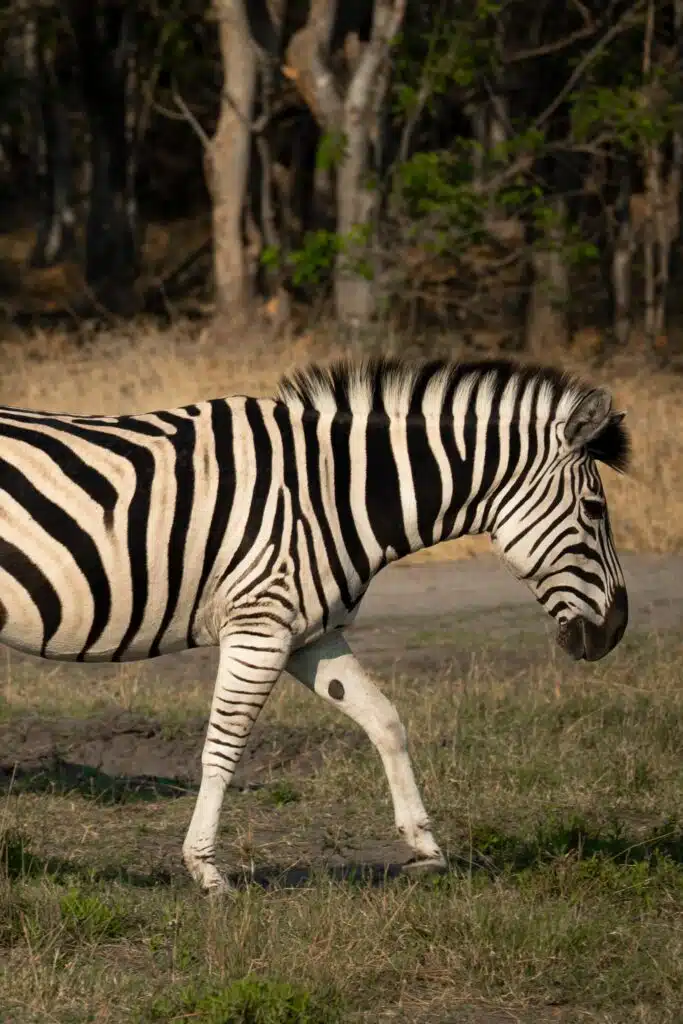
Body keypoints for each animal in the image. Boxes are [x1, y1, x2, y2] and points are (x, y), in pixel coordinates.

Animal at [0, 356, 630, 890]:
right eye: (595, 510)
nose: (616, 631)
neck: (328, 491)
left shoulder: (311, 634)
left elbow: (385, 720)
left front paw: (424, 847)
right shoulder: (259, 626)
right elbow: (223, 745)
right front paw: (205, 868)